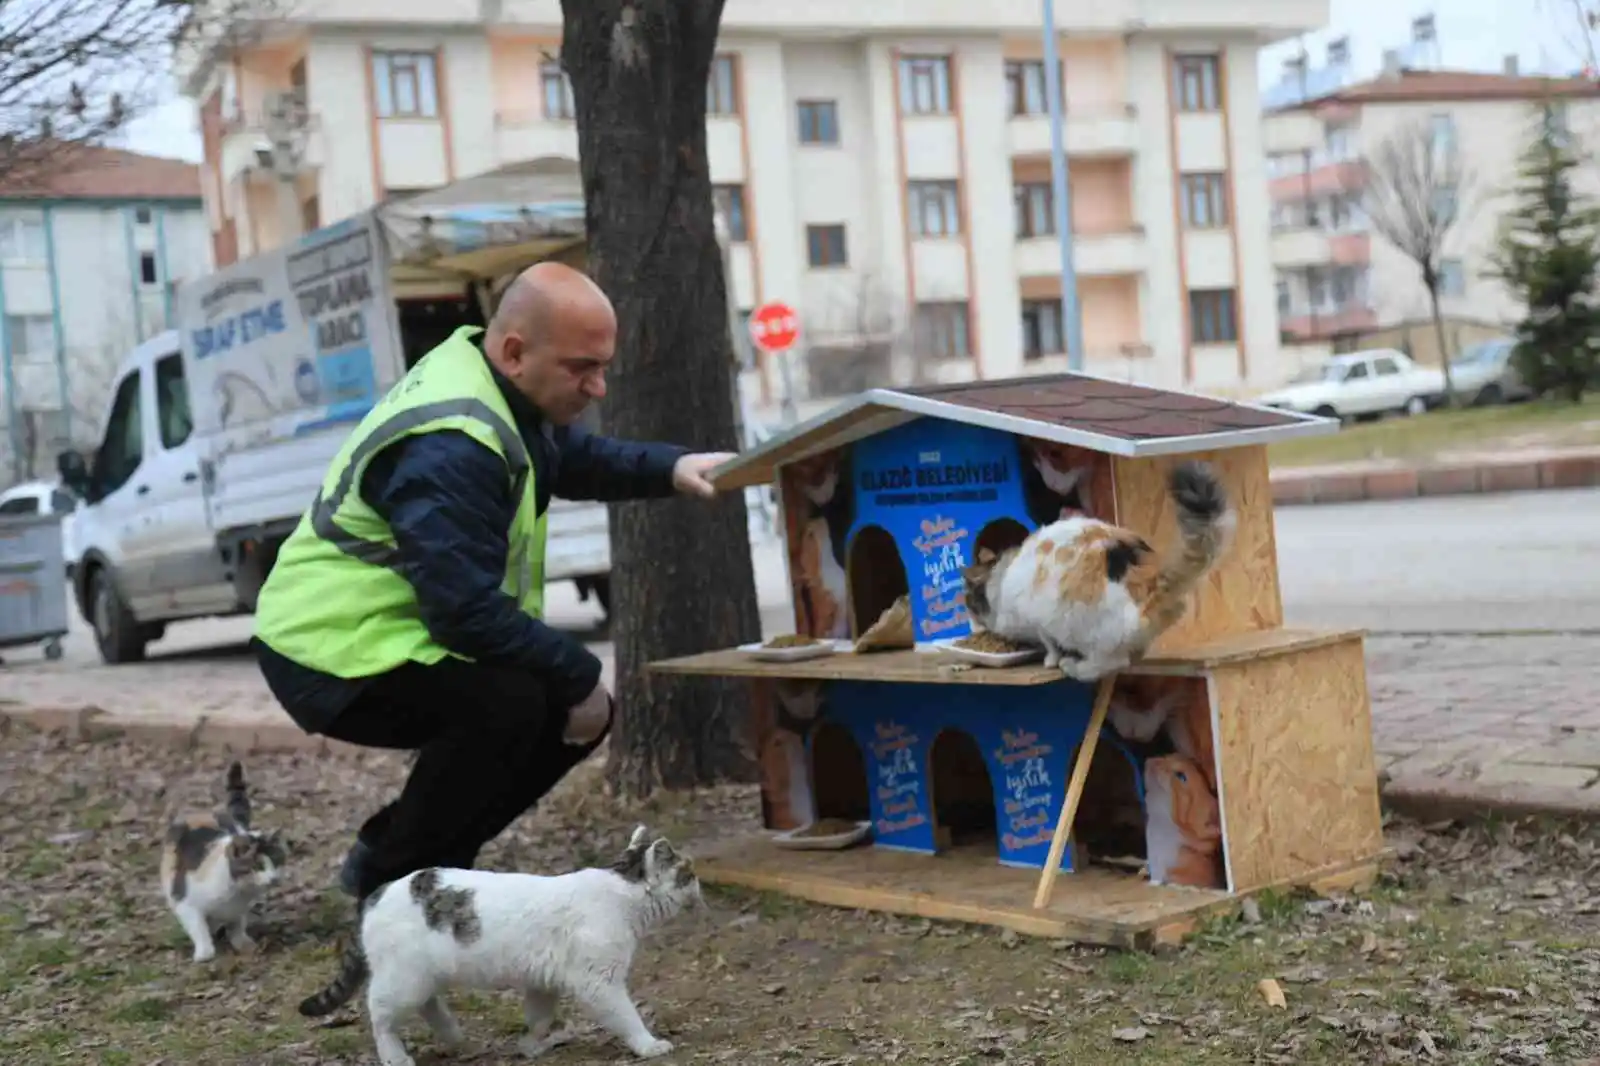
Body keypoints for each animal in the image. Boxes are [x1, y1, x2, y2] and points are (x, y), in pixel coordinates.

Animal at [162, 758, 291, 960]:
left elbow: (237, 925)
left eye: (276, 861)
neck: (237, 891)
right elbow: (198, 927)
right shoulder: (184, 901)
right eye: (257, 865)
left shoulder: (237, 910)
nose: (273, 878)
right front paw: (204, 953)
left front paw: (243, 944)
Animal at [960, 457, 1235, 681]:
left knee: (1108, 664)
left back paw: (1072, 666)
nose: (973, 627)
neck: (1001, 577)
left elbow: (1049, 646)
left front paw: (1051, 661)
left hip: (1085, 630)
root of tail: (1146, 580)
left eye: (969, 604)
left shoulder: (1039, 622)